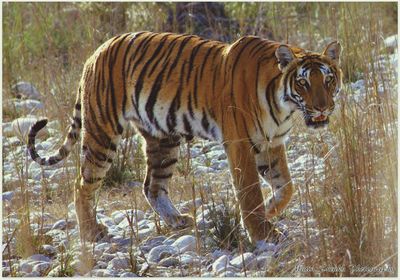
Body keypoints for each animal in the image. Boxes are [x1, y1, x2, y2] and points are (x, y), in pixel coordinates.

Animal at [28, 31, 342, 244]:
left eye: (328, 80)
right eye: (303, 83)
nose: (322, 108)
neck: (284, 106)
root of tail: (97, 51)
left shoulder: (271, 143)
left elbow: (286, 186)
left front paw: (269, 211)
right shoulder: (241, 143)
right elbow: (250, 190)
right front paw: (262, 232)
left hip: (163, 139)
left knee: (152, 186)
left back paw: (177, 221)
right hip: (102, 133)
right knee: (83, 184)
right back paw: (91, 232)